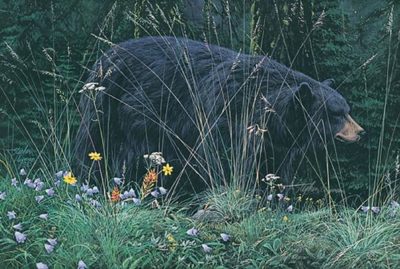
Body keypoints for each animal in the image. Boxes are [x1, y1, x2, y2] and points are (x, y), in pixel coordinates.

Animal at [73, 36, 364, 191]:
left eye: (348, 110)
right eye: (338, 114)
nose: (361, 132)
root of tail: (105, 56)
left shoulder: (276, 142)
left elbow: (276, 166)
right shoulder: (225, 116)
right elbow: (219, 158)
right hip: (113, 109)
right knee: (97, 146)